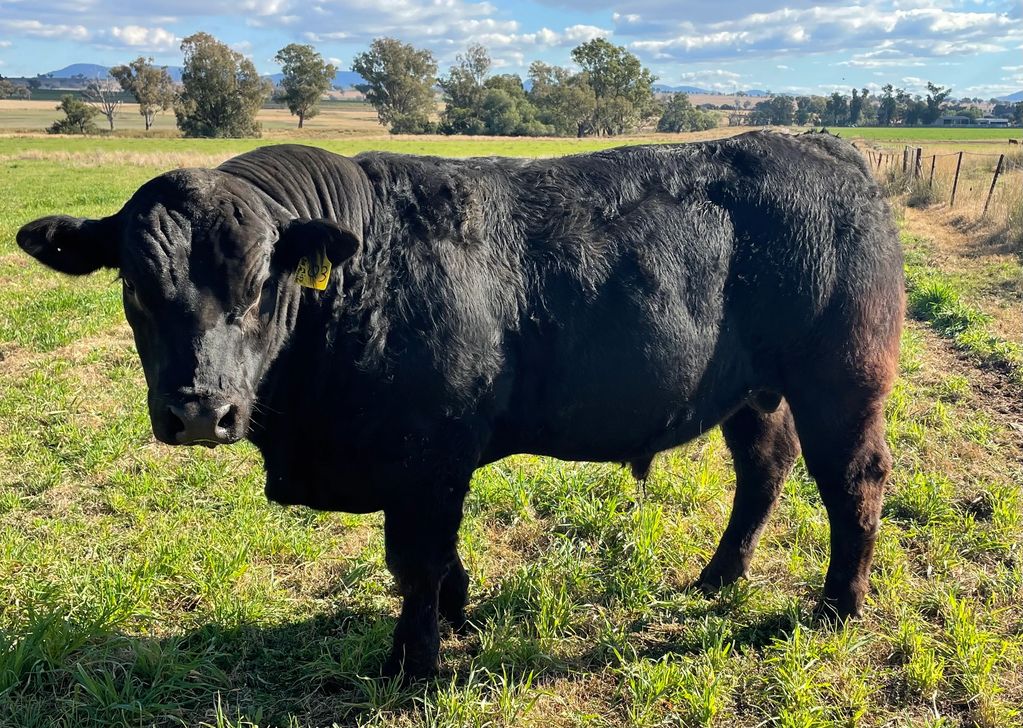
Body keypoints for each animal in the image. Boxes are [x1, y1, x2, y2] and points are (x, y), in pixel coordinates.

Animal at [19, 130, 904, 674]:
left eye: (261, 281)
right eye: (135, 284)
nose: (201, 410)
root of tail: (824, 146)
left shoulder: (429, 457)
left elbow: (413, 562)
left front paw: (411, 665)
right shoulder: (421, 466)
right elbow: (437, 562)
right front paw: (456, 615)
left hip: (840, 382)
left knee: (851, 482)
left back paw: (837, 605)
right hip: (754, 393)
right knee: (764, 469)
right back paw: (717, 578)